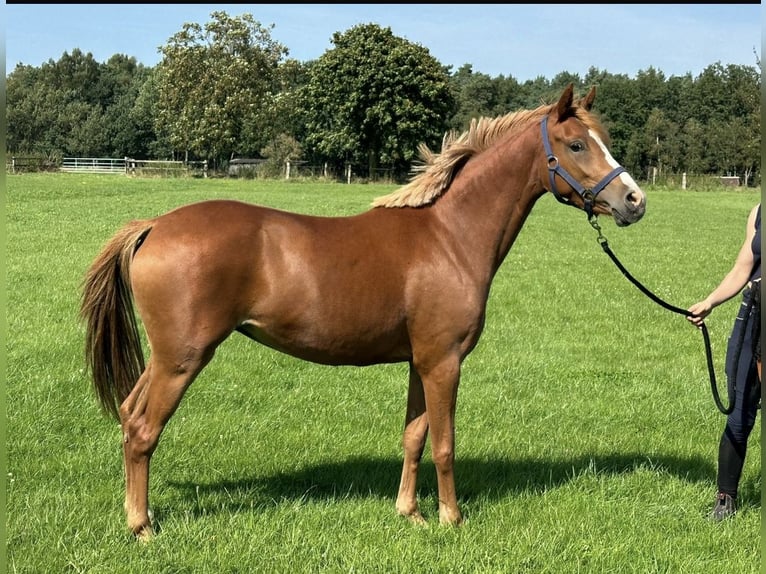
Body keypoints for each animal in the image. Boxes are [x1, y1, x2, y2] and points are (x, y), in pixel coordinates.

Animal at [82, 84, 648, 540]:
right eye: (576, 144)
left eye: (600, 139)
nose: (634, 201)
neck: (449, 235)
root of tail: (154, 225)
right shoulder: (444, 362)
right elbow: (444, 443)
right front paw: (452, 519)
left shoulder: (421, 361)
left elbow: (415, 437)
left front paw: (411, 514)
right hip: (183, 359)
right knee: (143, 431)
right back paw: (143, 527)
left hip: (165, 358)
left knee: (129, 416)